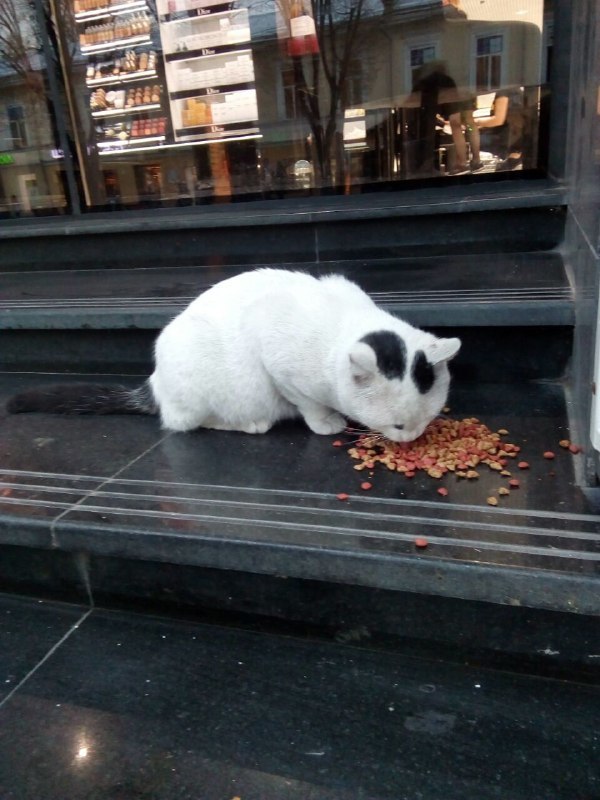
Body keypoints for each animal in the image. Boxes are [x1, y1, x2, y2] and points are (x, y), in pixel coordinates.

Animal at [8, 270, 460, 444]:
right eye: (397, 425)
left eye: (427, 420)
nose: (412, 438)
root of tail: (154, 383)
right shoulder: (277, 357)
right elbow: (308, 402)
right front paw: (325, 421)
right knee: (184, 422)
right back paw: (249, 424)